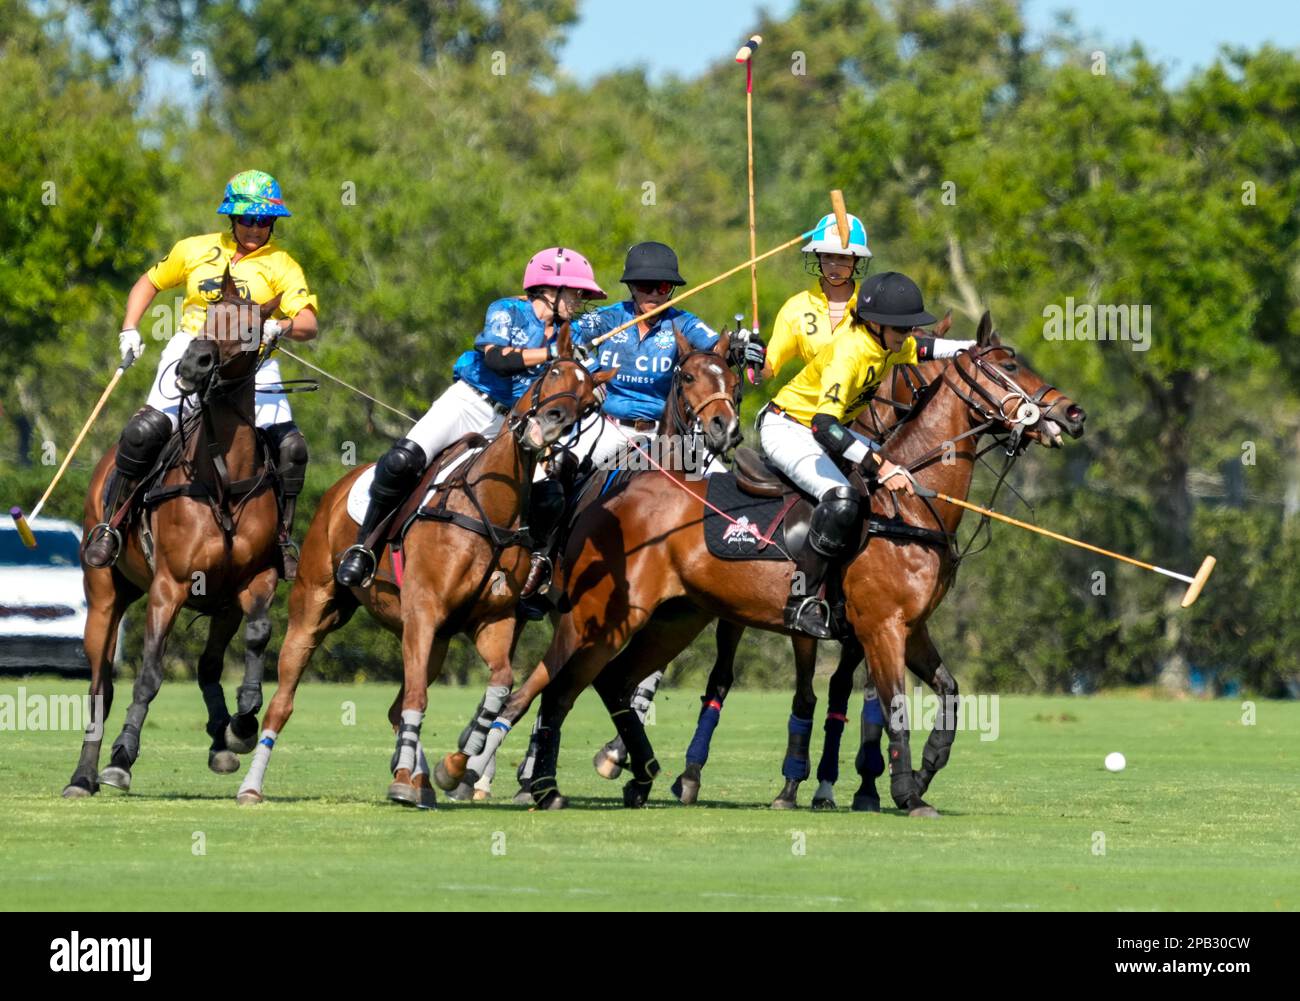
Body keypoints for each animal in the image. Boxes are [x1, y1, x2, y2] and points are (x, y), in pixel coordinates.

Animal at [64, 267, 283, 795]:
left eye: (252, 327)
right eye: (211, 312)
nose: (194, 363)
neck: (222, 479)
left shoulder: (255, 578)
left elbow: (259, 634)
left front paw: (243, 722)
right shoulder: (170, 585)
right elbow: (149, 673)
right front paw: (121, 756)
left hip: (215, 603)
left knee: (207, 665)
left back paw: (223, 738)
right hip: (105, 592)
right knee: (100, 683)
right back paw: (83, 775)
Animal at [233, 323, 613, 806]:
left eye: (588, 405)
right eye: (551, 372)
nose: (549, 425)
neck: (489, 506)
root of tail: (336, 490)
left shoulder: (492, 620)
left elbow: (500, 685)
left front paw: (456, 766)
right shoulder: (424, 610)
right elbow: (419, 699)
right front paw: (411, 779)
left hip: (432, 638)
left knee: (398, 707)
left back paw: (422, 781)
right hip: (316, 608)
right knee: (284, 701)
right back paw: (253, 785)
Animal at [462, 315, 1081, 816]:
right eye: (1009, 367)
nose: (1072, 413)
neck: (907, 505)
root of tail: (609, 497)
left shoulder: (911, 627)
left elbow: (948, 693)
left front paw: (924, 772)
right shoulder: (880, 626)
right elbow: (893, 704)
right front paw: (905, 793)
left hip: (673, 618)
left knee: (609, 681)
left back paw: (635, 773)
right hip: (599, 615)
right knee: (558, 686)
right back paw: (525, 780)